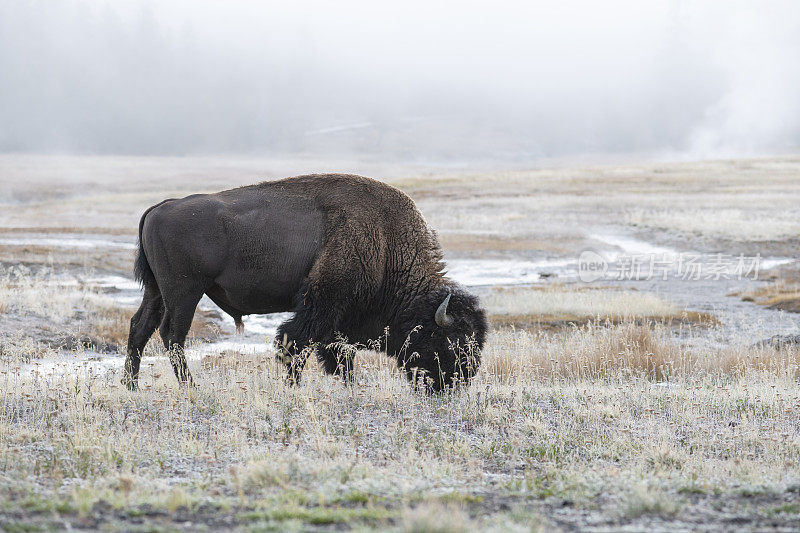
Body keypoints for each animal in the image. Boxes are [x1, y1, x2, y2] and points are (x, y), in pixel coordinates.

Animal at [123, 174, 488, 390]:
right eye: (452, 341)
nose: (454, 384)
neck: (386, 241)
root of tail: (162, 206)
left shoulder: (338, 318)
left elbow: (337, 355)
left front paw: (347, 387)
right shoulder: (322, 304)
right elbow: (295, 344)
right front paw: (294, 388)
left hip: (157, 291)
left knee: (140, 327)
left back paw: (132, 385)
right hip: (184, 292)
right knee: (172, 335)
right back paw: (190, 387)